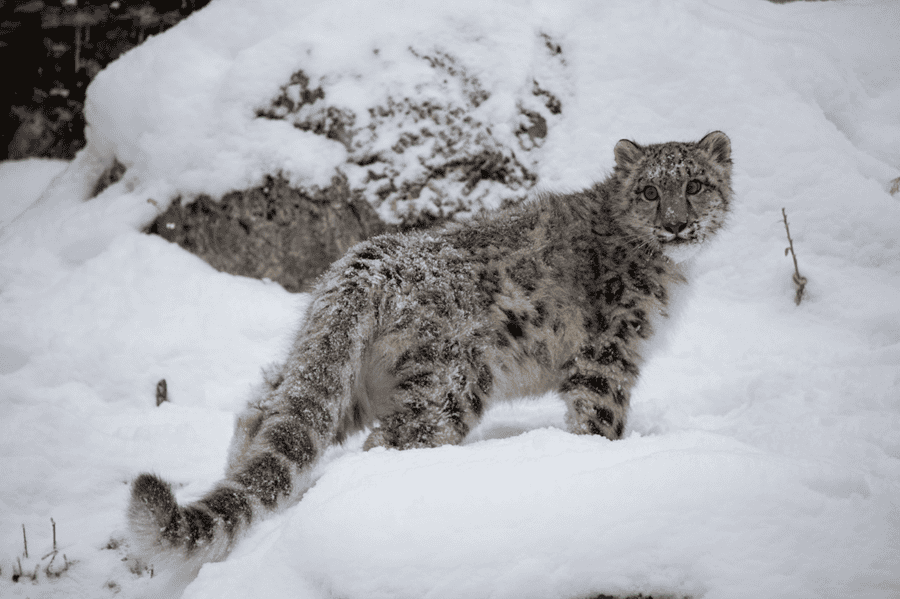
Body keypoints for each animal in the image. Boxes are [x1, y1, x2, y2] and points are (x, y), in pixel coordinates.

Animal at [125, 130, 732, 576]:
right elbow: (601, 420)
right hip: (450, 388)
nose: (676, 223)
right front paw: (605, 464)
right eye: (650, 191)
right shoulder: (609, 353)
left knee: (266, 416)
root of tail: (369, 260)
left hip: (346, 381)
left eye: (696, 184)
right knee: (393, 442)